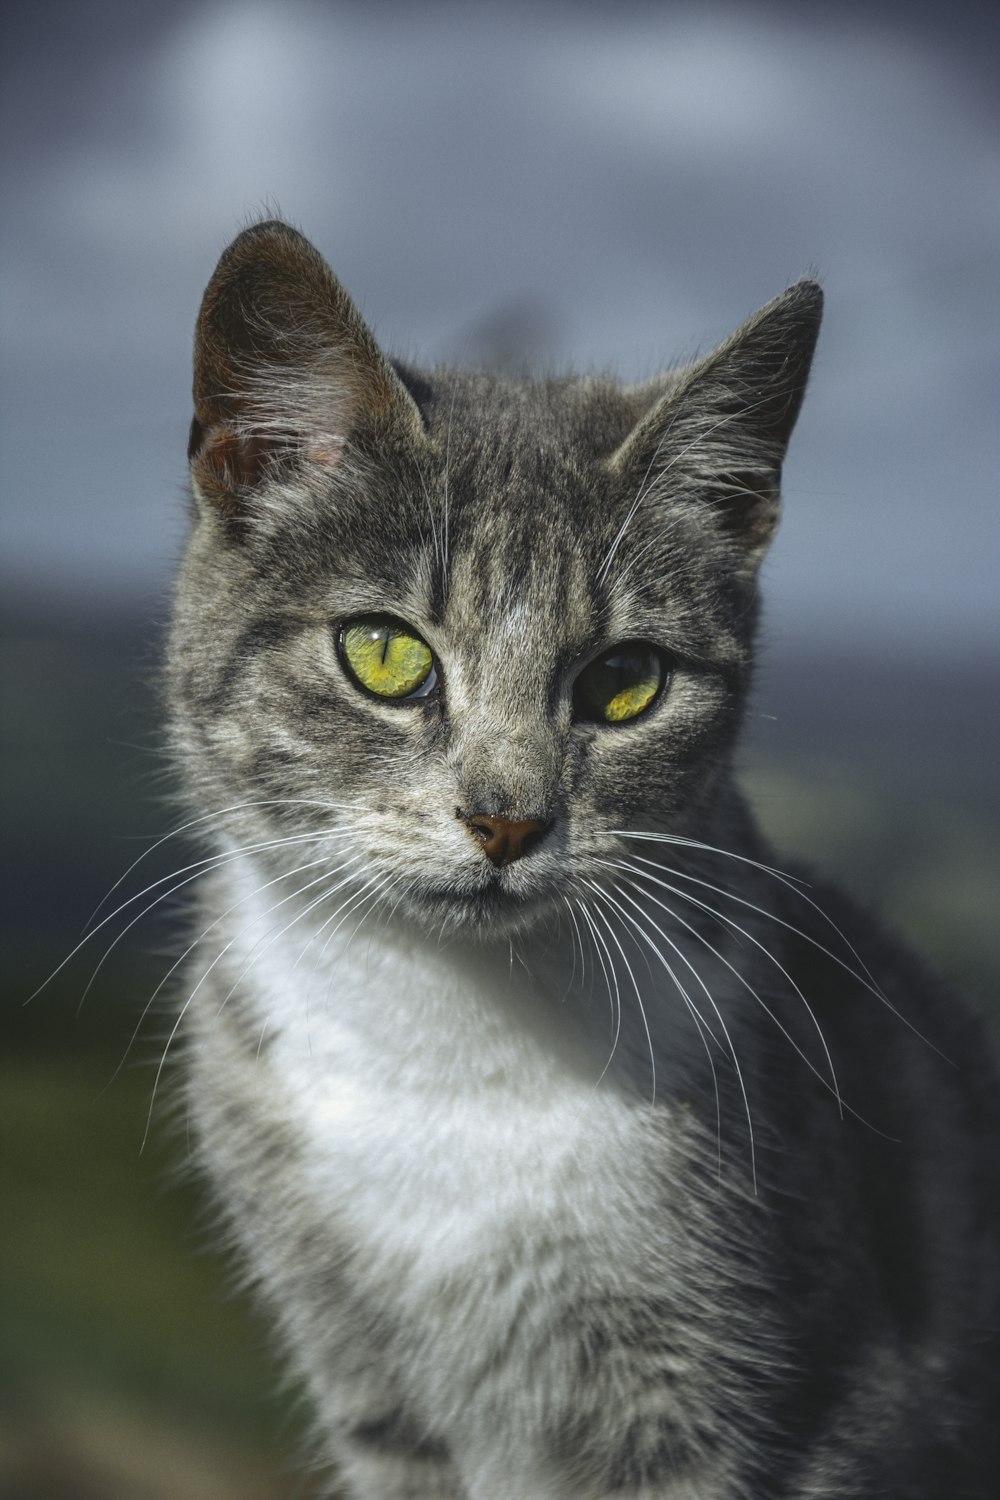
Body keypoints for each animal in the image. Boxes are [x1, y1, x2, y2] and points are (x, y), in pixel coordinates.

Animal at [170, 219, 1000, 1500]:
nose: (506, 819)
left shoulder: (771, 1398)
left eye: (625, 681)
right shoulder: (371, 1389)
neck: (449, 1047)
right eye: (383, 653)